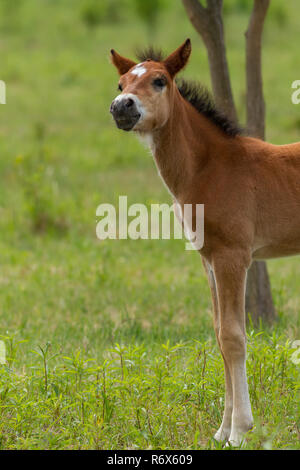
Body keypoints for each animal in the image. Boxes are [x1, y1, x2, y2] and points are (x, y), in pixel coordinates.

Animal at [109, 39, 300, 444]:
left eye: (160, 80)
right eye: (121, 84)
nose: (121, 107)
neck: (212, 168)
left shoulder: (233, 257)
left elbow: (233, 337)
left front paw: (240, 431)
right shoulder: (209, 259)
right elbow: (218, 334)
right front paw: (221, 431)